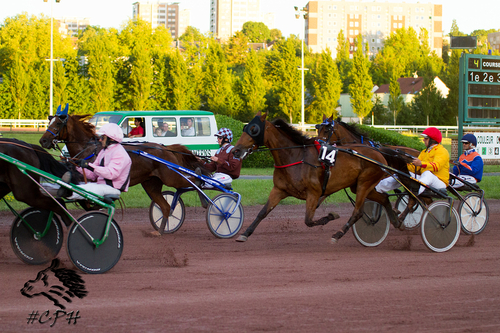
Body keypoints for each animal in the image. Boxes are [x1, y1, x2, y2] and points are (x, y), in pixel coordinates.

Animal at [38, 111, 207, 233]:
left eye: (58, 123)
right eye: (49, 121)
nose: (43, 141)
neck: (89, 149)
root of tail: (165, 148)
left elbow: (89, 202)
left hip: (170, 176)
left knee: (193, 180)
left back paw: (202, 190)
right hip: (151, 183)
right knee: (165, 207)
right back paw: (159, 231)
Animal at [230, 111, 398, 241]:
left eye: (254, 129)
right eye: (245, 127)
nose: (235, 150)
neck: (295, 156)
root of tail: (379, 154)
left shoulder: (314, 193)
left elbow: (308, 221)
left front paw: (331, 216)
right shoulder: (279, 190)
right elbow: (262, 212)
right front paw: (245, 233)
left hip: (365, 182)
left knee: (358, 212)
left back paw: (337, 235)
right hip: (358, 186)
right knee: (384, 198)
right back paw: (397, 221)